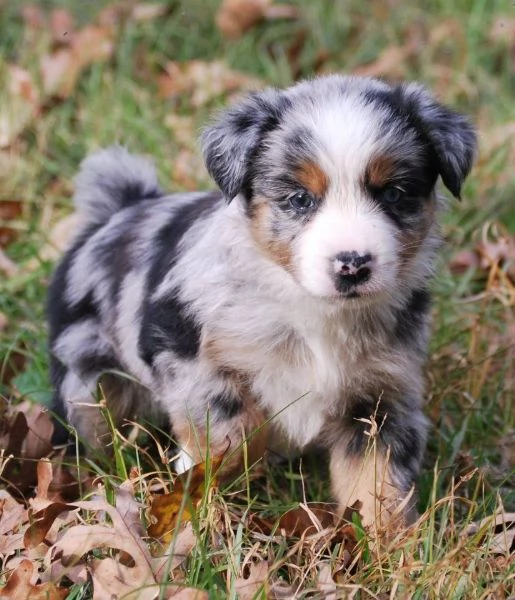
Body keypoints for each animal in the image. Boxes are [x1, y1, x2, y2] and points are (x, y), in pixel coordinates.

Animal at [47, 76, 476, 528]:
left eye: (393, 194)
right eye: (300, 199)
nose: (353, 264)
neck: (312, 308)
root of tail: (122, 207)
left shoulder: (383, 395)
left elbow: (378, 482)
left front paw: (389, 540)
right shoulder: (186, 348)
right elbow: (228, 434)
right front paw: (205, 496)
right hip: (86, 379)